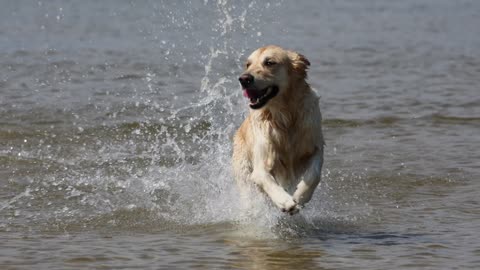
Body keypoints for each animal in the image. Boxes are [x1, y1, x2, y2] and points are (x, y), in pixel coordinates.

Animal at [232, 46, 324, 215]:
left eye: (269, 62)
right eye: (248, 64)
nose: (243, 79)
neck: (285, 116)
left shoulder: (315, 146)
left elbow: (314, 174)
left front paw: (301, 196)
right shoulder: (261, 163)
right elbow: (265, 178)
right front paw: (285, 201)